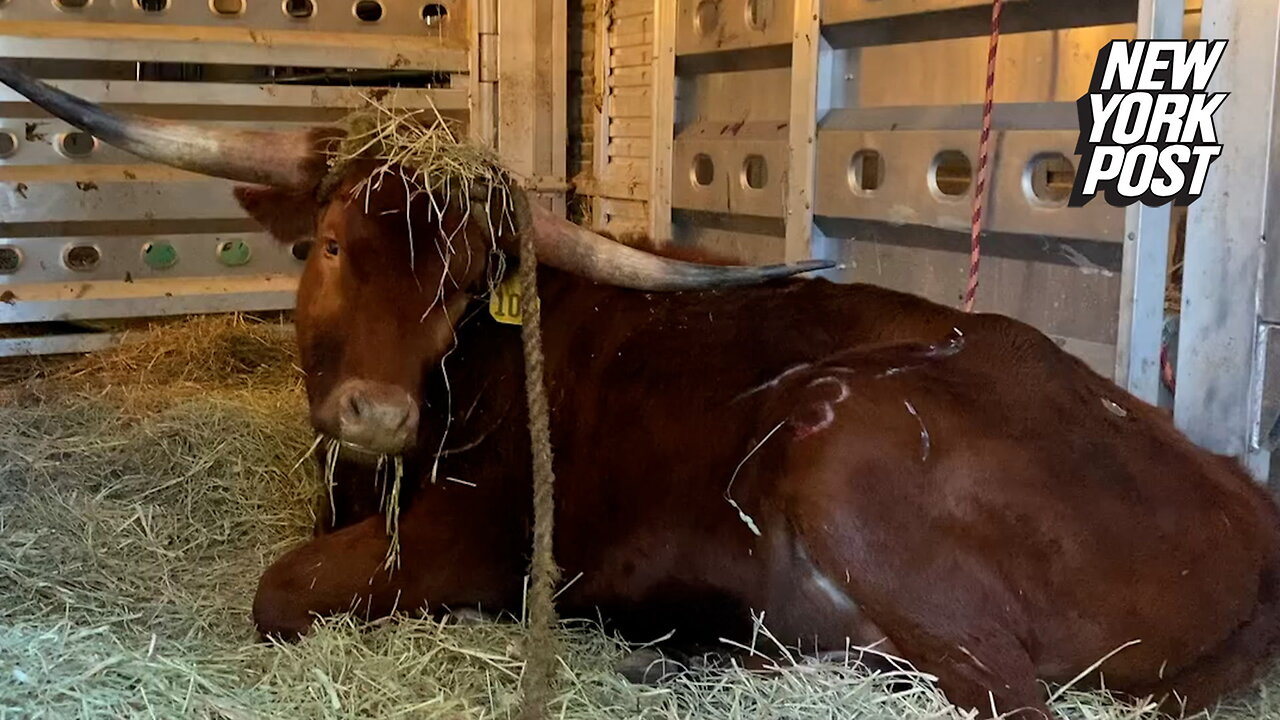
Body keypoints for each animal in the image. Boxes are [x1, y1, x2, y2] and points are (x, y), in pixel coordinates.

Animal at [5, 67, 1274, 717]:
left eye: (459, 285)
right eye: (323, 245)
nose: (378, 414)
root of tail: (1237, 495)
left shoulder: (485, 542)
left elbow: (281, 591)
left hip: (847, 438)